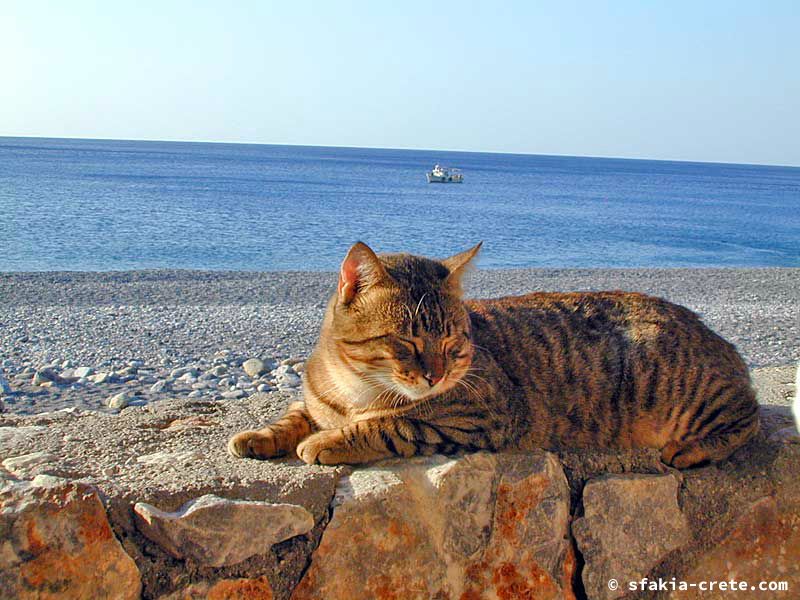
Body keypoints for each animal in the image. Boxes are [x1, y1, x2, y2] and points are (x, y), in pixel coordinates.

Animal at [228, 243, 760, 468]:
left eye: (452, 343)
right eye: (408, 342)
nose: (435, 377)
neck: (355, 386)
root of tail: (714, 334)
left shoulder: (483, 416)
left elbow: (393, 425)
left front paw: (329, 441)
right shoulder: (313, 399)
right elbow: (293, 415)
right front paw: (259, 436)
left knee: (747, 419)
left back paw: (691, 450)